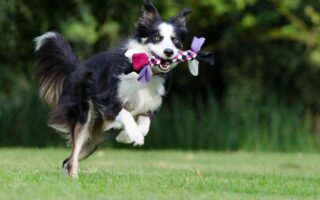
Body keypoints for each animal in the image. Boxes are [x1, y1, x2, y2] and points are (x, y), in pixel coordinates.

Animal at [34, 0, 191, 177]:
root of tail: (79, 67)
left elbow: (145, 126)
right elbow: (126, 114)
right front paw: (133, 134)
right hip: (84, 116)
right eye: (157, 37)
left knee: (67, 160)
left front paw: (125, 136)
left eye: (175, 40)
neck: (146, 70)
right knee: (73, 155)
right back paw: (74, 178)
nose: (169, 52)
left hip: (95, 139)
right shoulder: (108, 99)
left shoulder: (150, 105)